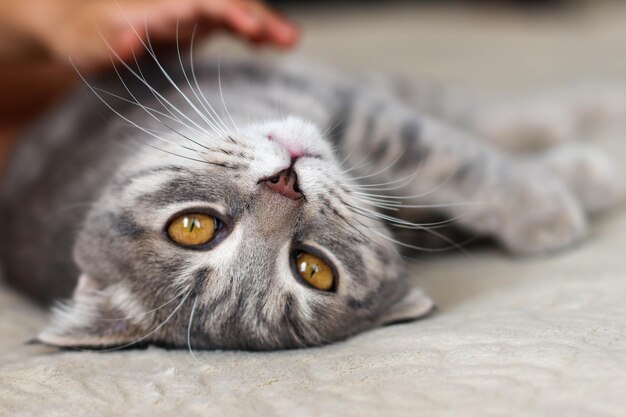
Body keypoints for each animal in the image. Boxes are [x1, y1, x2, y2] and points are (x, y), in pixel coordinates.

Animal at [0, 52, 620, 352]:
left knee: (472, 110)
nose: (286, 182)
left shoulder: (347, 106)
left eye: (193, 226)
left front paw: (559, 179)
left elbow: (444, 147)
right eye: (313, 269)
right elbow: (447, 163)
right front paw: (554, 200)